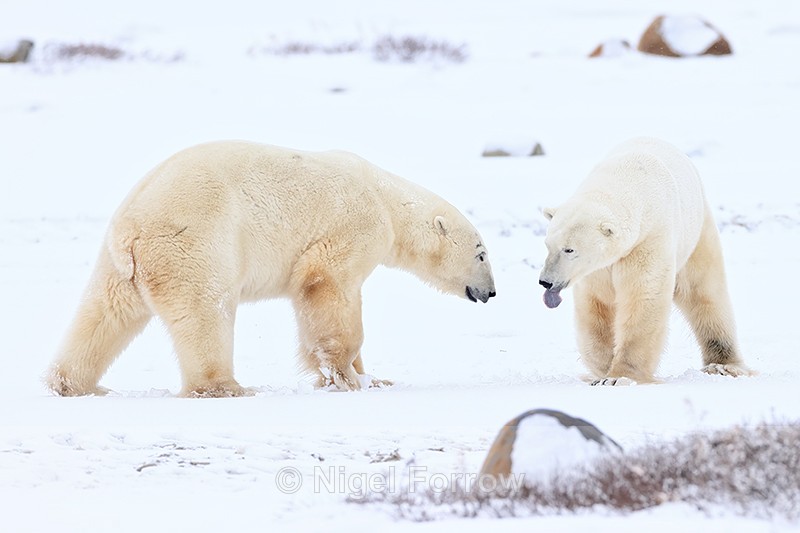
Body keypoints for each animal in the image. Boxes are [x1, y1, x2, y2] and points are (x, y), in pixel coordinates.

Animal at [46, 141, 496, 397]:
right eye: (481, 254)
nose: (491, 292)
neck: (384, 196)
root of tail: (131, 230)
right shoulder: (354, 226)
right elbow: (326, 284)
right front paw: (345, 377)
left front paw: (372, 377)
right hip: (196, 242)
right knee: (207, 311)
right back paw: (226, 387)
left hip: (118, 264)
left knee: (103, 314)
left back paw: (73, 384)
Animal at [538, 137, 751, 385]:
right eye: (548, 244)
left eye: (569, 249)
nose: (546, 282)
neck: (627, 177)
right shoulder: (599, 267)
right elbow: (597, 304)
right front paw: (602, 369)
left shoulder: (648, 240)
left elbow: (643, 297)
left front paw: (619, 376)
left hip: (696, 234)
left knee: (705, 291)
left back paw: (723, 365)